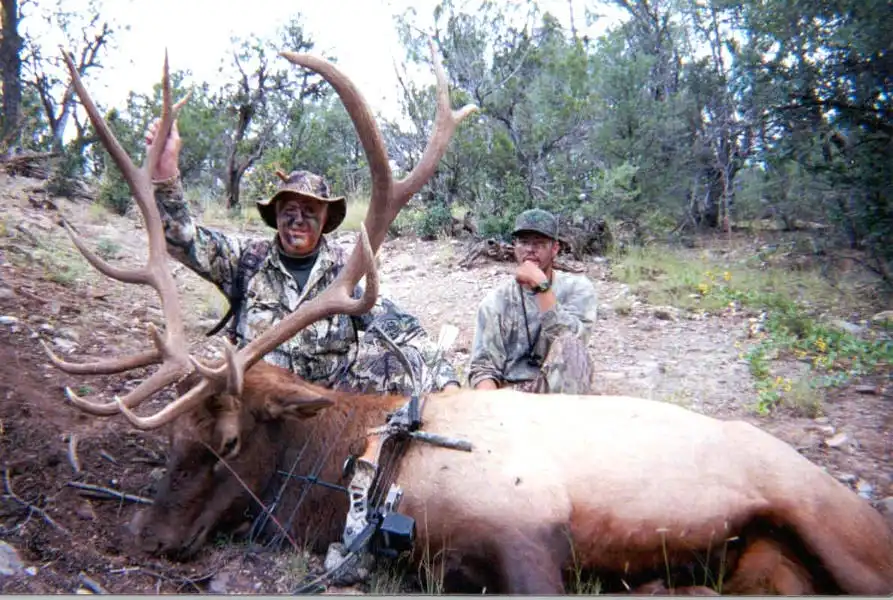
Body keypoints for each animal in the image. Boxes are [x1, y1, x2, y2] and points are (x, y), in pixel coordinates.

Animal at [40, 42, 893, 596]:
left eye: (227, 442)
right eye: (172, 440)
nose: (145, 538)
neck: (371, 463)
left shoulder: (528, 532)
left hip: (827, 522)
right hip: (764, 568)